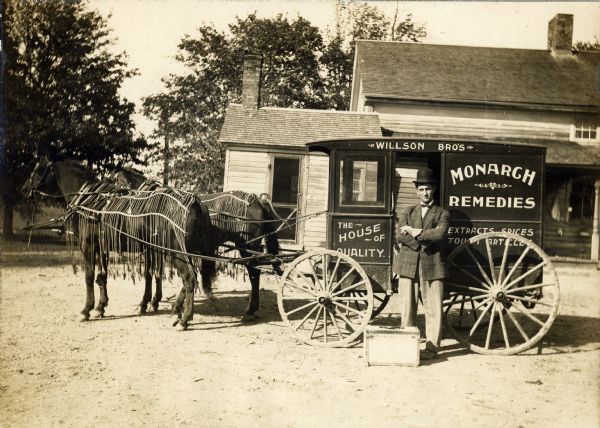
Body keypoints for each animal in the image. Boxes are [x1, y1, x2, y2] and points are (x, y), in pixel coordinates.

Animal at [22, 159, 216, 330]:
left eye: (36, 170)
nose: (24, 189)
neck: (89, 203)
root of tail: (194, 202)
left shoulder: (88, 245)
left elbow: (89, 277)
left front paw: (86, 310)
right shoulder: (103, 246)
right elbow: (103, 276)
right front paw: (101, 306)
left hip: (176, 253)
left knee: (189, 279)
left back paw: (183, 319)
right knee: (191, 278)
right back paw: (179, 312)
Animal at [115, 167, 284, 320]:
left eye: (116, 184)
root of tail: (259, 200)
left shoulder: (151, 247)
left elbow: (150, 274)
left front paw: (146, 302)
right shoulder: (162, 248)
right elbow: (158, 274)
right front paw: (156, 301)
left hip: (247, 247)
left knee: (254, 274)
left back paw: (250, 310)